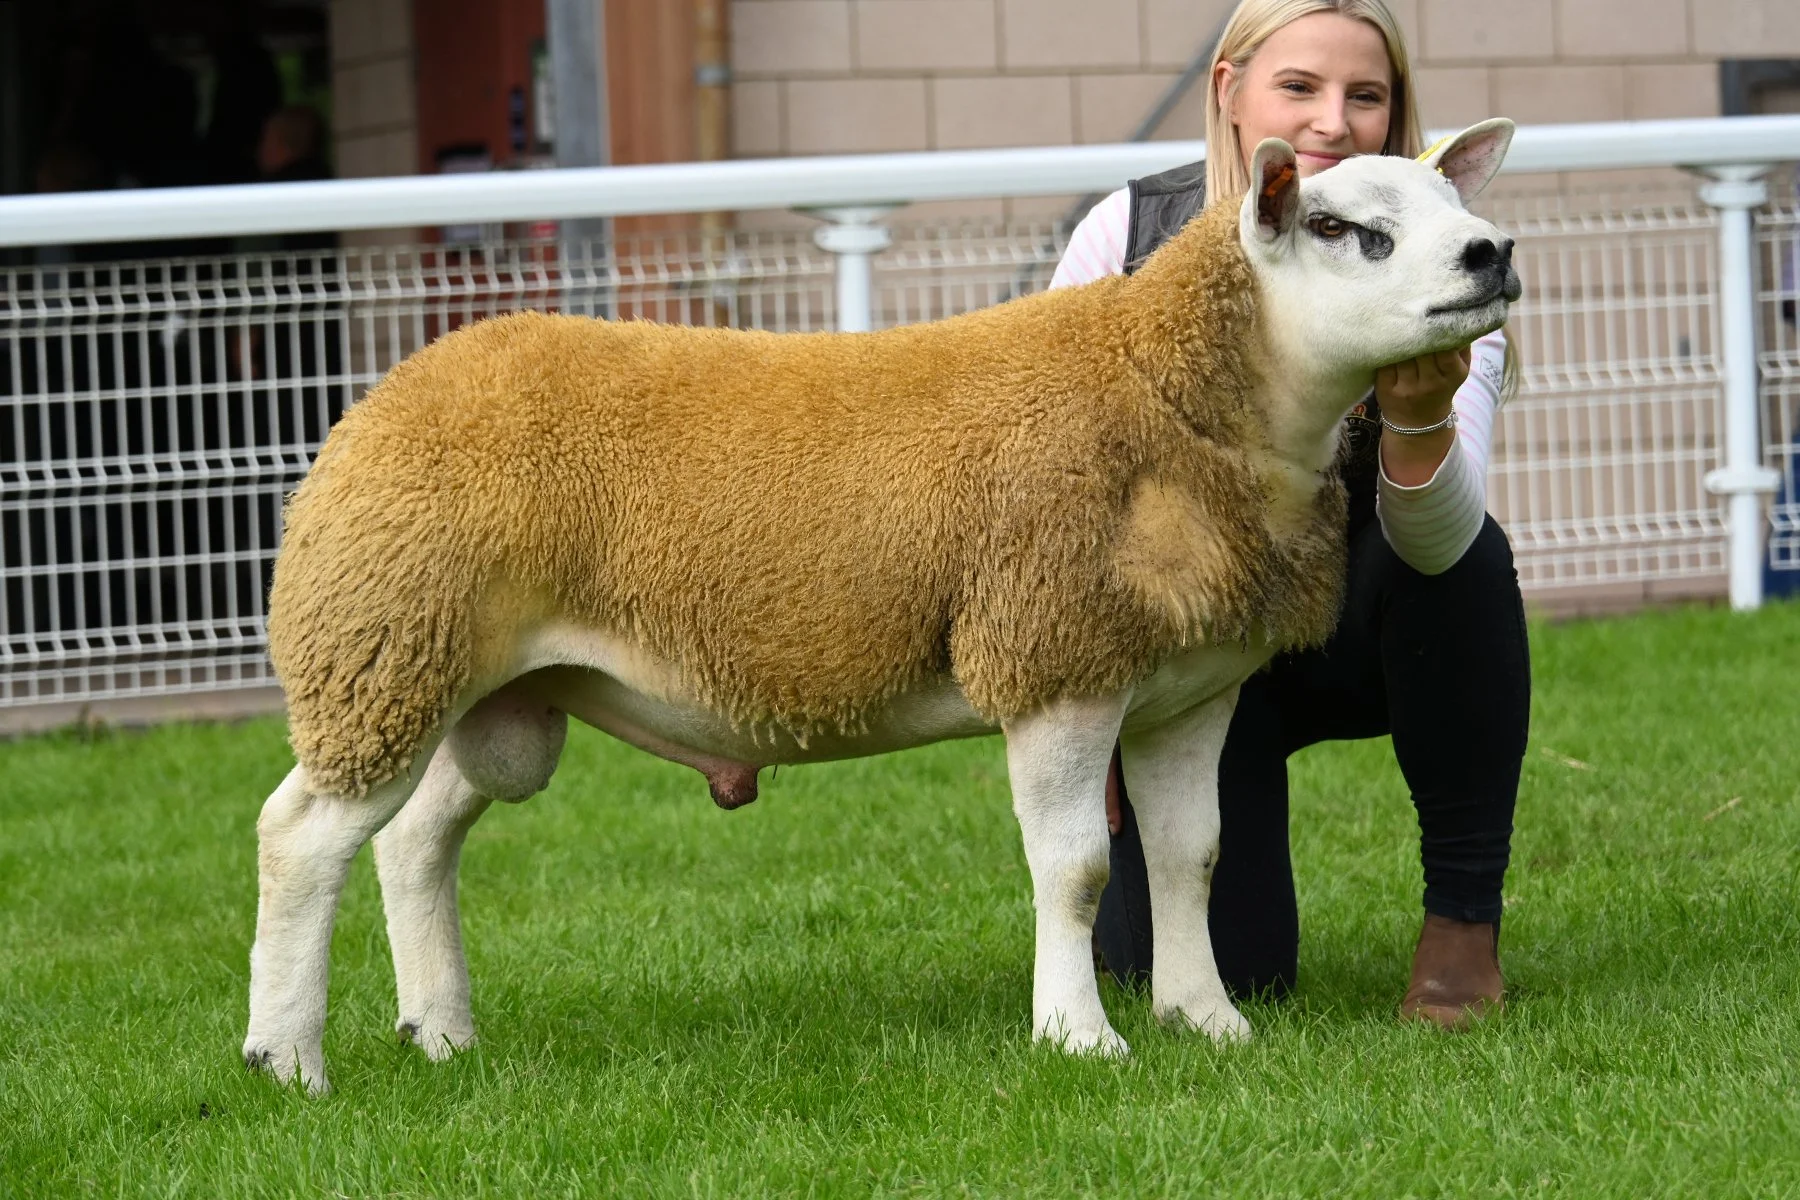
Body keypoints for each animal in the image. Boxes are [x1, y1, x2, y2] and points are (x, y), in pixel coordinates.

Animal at [244, 120, 1521, 1092]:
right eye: (1343, 228)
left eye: (1451, 199)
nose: (1494, 253)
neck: (1169, 392)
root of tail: (386, 397)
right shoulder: (1053, 660)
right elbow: (1078, 871)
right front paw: (1080, 1037)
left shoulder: (1184, 690)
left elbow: (1190, 858)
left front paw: (1204, 1021)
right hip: (385, 640)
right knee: (302, 835)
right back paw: (288, 1059)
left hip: (490, 686)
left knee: (415, 837)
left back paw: (441, 1031)